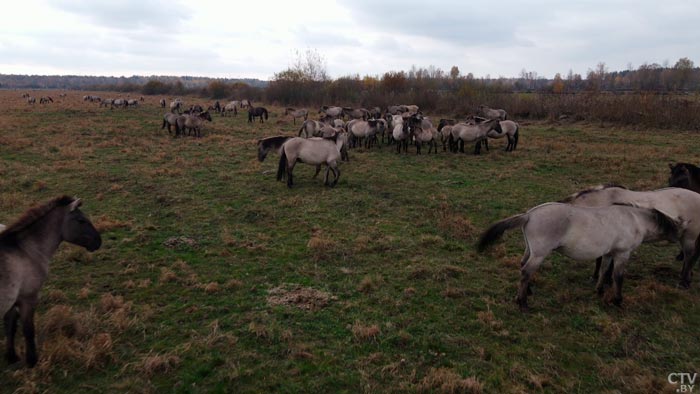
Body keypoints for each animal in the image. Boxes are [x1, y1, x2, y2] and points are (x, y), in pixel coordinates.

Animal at [0, 196, 101, 366]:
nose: (98, 241)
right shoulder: (28, 297)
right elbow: (28, 329)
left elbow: (10, 326)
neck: (26, 250)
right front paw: (32, 361)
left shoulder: (13, 300)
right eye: (81, 220)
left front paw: (12, 357)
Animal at [476, 203, 680, 310]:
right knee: (526, 271)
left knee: (523, 266)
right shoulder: (623, 254)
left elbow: (604, 271)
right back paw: (522, 302)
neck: (633, 220)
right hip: (540, 253)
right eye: (677, 229)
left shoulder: (609, 253)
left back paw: (528, 291)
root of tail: (529, 215)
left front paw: (599, 291)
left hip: (531, 250)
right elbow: (618, 277)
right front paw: (617, 300)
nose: (680, 248)